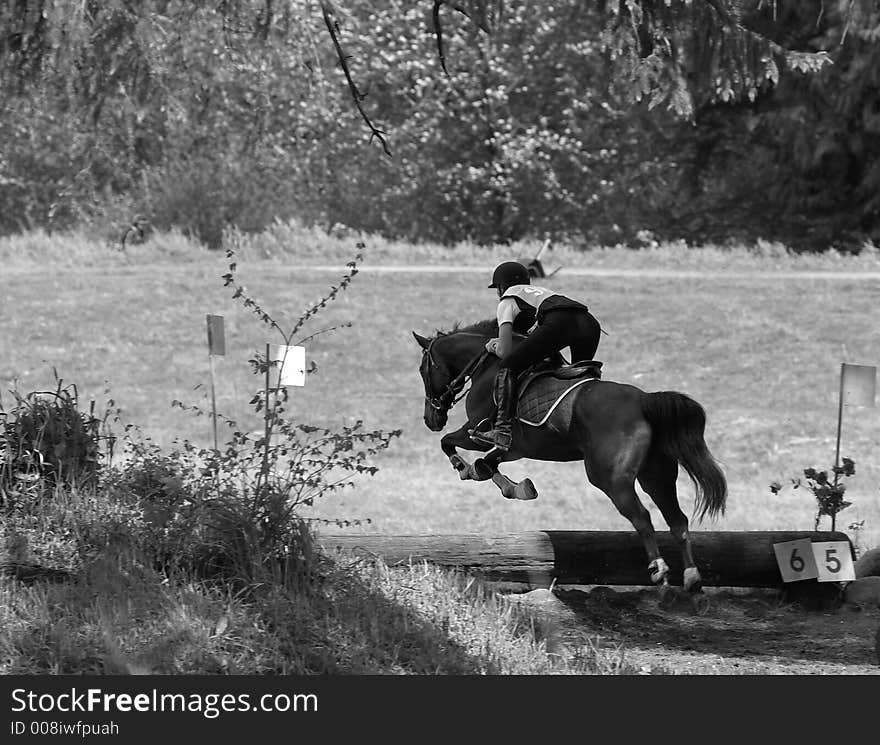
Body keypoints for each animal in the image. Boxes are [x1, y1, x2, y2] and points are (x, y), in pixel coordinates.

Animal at [412, 318, 728, 592]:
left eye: (422, 370)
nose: (430, 419)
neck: (487, 366)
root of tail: (644, 400)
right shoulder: (515, 447)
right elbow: (489, 464)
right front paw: (516, 487)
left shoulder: (475, 431)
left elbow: (449, 443)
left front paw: (464, 467)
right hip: (657, 475)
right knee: (677, 520)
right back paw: (691, 578)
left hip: (610, 478)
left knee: (642, 517)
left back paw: (659, 569)